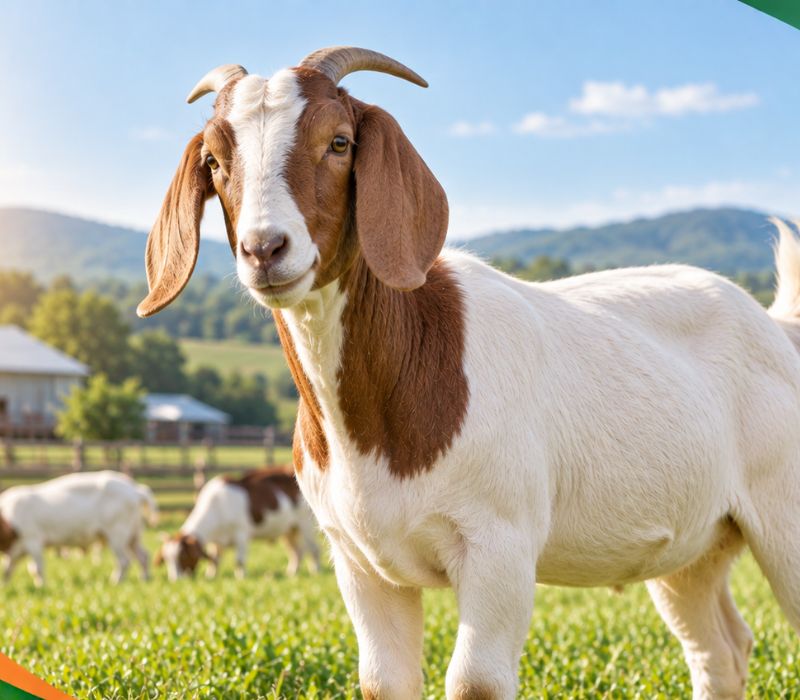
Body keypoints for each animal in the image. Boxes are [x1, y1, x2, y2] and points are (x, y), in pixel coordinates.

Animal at [0, 470, 157, 586]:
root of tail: (136, 491)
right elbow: (8, 569)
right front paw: (6, 585)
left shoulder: (33, 538)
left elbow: (36, 568)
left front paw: (42, 586)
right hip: (134, 532)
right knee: (143, 555)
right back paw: (144, 579)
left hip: (117, 531)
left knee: (124, 560)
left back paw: (114, 582)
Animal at [155, 468, 320, 580]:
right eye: (167, 558)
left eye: (182, 556)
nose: (176, 580)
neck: (218, 507)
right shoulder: (216, 543)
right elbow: (214, 560)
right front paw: (210, 576)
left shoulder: (241, 533)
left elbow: (239, 561)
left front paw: (241, 578)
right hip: (289, 530)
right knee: (296, 552)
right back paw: (292, 573)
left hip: (305, 524)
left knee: (313, 549)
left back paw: (316, 571)